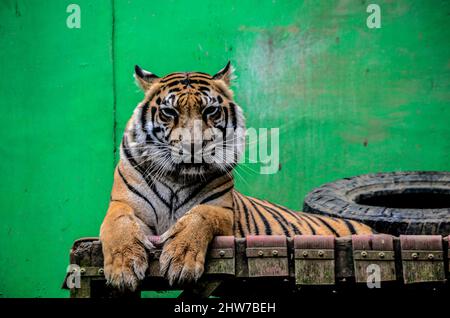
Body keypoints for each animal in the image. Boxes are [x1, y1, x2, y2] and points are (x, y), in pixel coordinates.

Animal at [100, 61, 374, 290]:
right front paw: (123, 268)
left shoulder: (222, 211)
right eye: (170, 112)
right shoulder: (123, 204)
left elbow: (199, 216)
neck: (177, 178)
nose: (193, 146)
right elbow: (119, 224)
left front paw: (181, 259)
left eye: (210, 110)